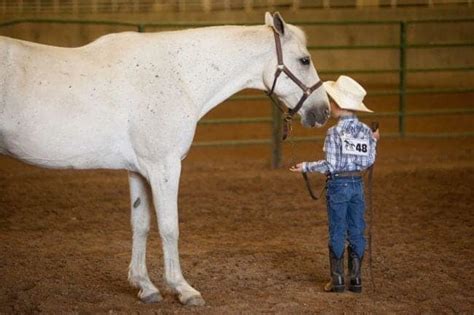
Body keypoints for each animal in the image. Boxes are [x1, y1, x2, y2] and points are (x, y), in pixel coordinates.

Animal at [0, 12, 330, 306]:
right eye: (304, 60)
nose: (323, 111)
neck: (177, 75)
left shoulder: (139, 170)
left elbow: (141, 224)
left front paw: (144, 286)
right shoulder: (164, 166)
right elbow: (170, 227)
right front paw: (183, 289)